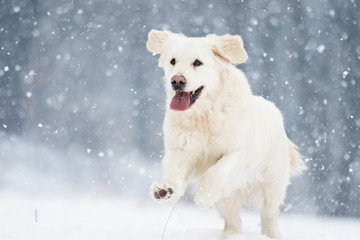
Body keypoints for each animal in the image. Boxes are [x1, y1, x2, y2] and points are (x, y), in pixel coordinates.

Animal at [146, 30, 306, 238]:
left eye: (197, 62)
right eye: (173, 61)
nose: (177, 81)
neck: (204, 116)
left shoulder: (238, 152)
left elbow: (218, 171)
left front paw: (203, 196)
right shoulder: (181, 149)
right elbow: (174, 170)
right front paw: (165, 189)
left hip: (271, 185)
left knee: (269, 214)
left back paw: (270, 234)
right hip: (230, 199)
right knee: (235, 222)